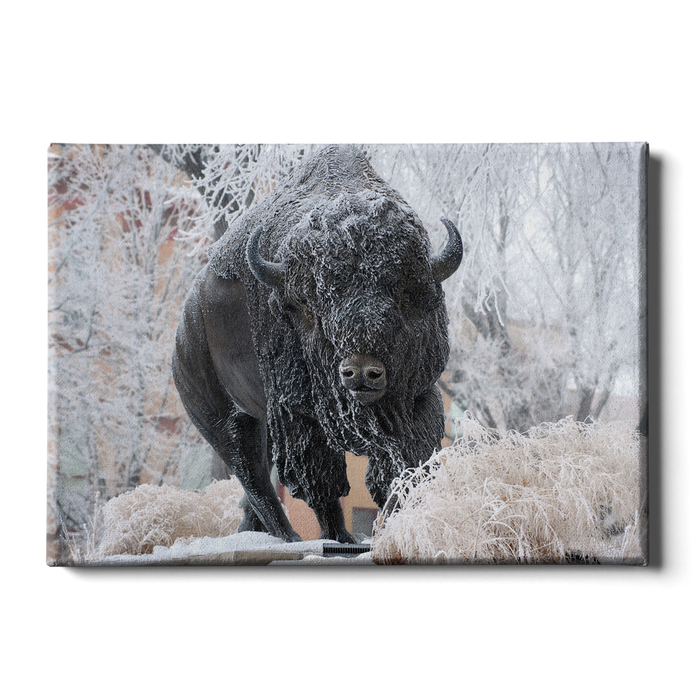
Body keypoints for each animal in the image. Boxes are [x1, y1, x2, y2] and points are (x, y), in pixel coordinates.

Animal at [172, 144, 463, 543]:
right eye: (311, 303)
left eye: (403, 295)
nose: (360, 372)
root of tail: (185, 325)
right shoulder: (298, 415)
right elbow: (321, 483)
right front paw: (341, 538)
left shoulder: (420, 396)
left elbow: (407, 466)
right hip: (221, 419)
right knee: (254, 477)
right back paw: (289, 537)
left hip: (261, 422)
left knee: (256, 480)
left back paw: (254, 533)